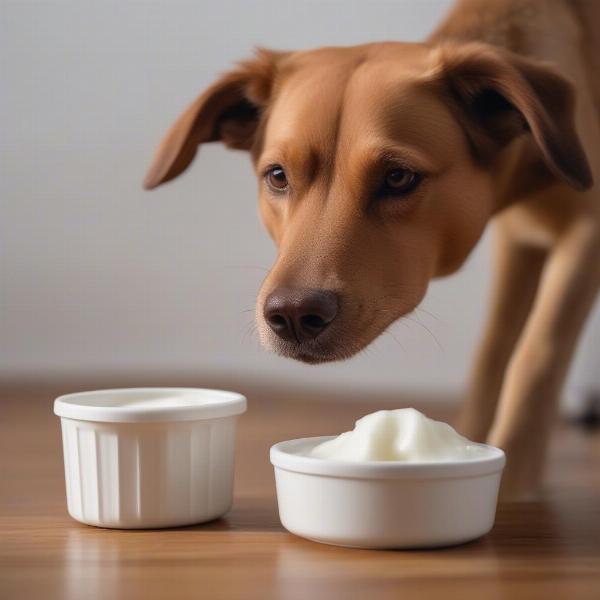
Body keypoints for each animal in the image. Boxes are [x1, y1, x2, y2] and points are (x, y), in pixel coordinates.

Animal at [145, 0, 600, 500]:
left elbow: (537, 354)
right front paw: (474, 440)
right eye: (277, 176)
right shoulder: (519, 242)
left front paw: (514, 481)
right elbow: (494, 352)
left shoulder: (586, 234)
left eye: (398, 177)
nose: (292, 315)